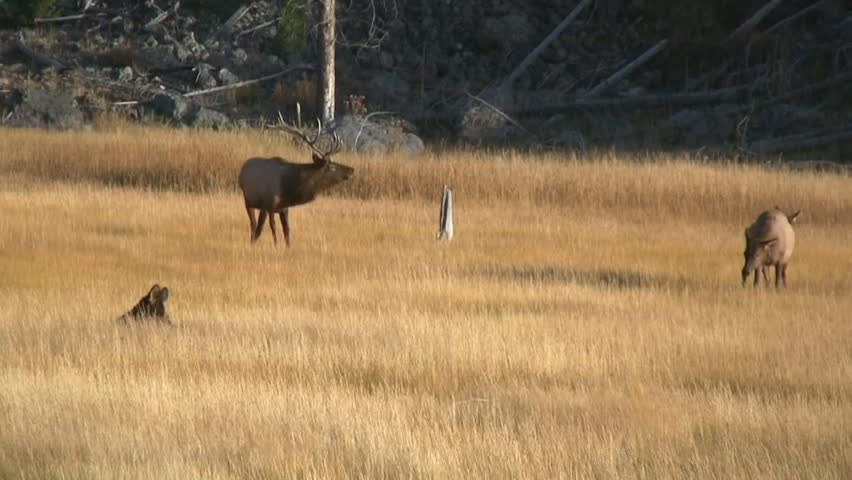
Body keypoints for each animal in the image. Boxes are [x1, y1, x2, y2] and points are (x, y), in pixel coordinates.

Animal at [238, 117, 354, 247]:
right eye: (332, 167)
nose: (351, 170)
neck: (288, 189)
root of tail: (243, 168)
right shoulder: (267, 204)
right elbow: (265, 228)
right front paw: (262, 245)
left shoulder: (284, 208)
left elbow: (287, 230)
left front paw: (286, 247)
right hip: (248, 201)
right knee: (254, 224)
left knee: (264, 225)